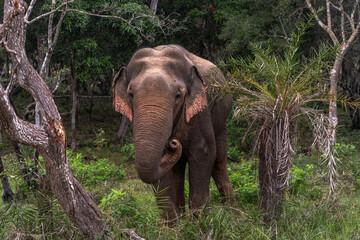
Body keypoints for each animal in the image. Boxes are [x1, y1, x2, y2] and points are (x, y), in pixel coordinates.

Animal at [114, 44, 235, 222]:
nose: (173, 142)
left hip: (221, 118)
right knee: (178, 167)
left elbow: (203, 152)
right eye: (130, 94)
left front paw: (198, 223)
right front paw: (174, 225)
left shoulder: (200, 111)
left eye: (178, 95)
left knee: (218, 159)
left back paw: (232, 211)